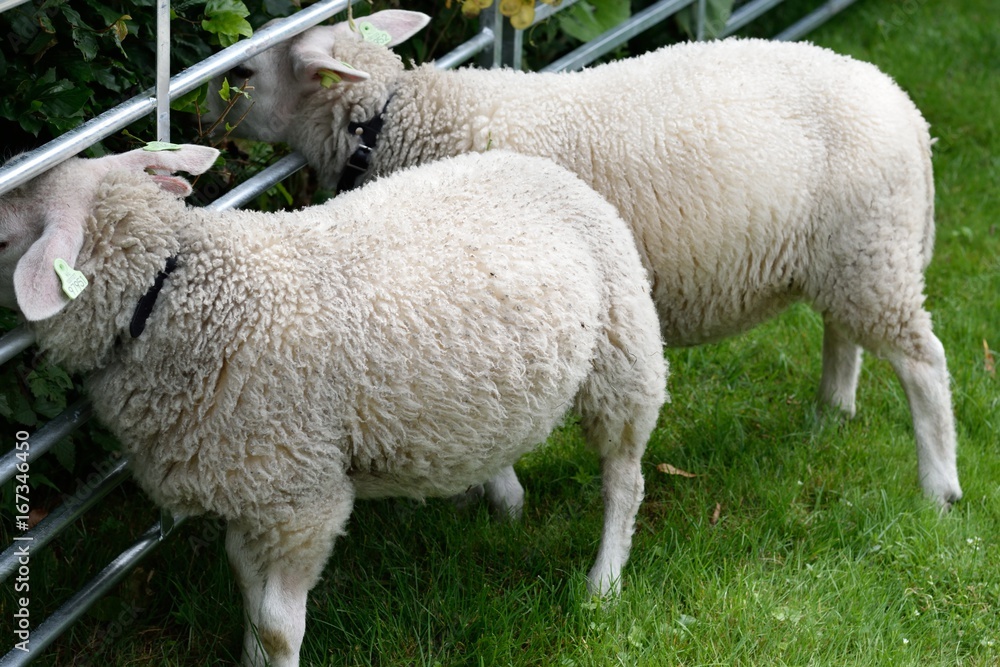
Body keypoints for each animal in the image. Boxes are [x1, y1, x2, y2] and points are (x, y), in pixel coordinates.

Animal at [0, 145, 667, 667]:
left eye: (5, 236)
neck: (174, 294)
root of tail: (540, 166)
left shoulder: (305, 499)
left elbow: (277, 623)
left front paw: (272, 655)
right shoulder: (254, 485)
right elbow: (246, 586)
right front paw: (249, 658)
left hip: (624, 357)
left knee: (623, 481)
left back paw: (603, 583)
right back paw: (504, 504)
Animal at [208, 10, 963, 508]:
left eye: (241, 74)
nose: (207, 131)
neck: (400, 121)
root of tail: (908, 110)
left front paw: (501, 498)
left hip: (873, 251)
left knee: (925, 363)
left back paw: (939, 486)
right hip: (853, 253)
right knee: (845, 333)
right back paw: (831, 413)